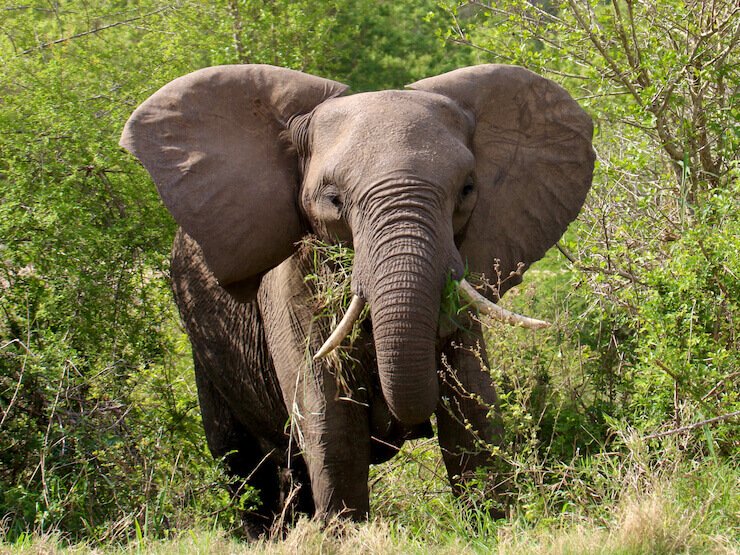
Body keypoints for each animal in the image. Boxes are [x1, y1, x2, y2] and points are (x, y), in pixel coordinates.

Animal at [120, 64, 594, 533]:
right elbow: (332, 422)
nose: (404, 425)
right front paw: (341, 535)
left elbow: (472, 409)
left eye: (467, 190)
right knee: (241, 463)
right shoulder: (288, 285)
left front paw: (494, 525)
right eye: (333, 200)